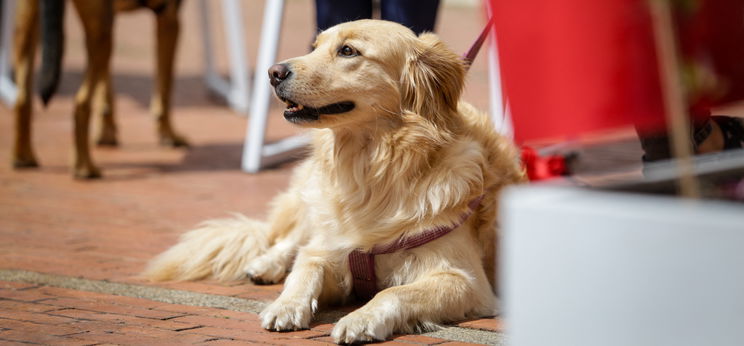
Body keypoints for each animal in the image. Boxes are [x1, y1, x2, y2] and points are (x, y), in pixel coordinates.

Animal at [145, 20, 524, 344]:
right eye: (315, 47)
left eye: (348, 51)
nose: (273, 72)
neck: (372, 168)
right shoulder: (329, 246)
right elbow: (306, 267)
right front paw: (286, 304)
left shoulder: (464, 280)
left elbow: (394, 291)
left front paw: (361, 319)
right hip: (310, 198)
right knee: (288, 240)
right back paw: (266, 265)